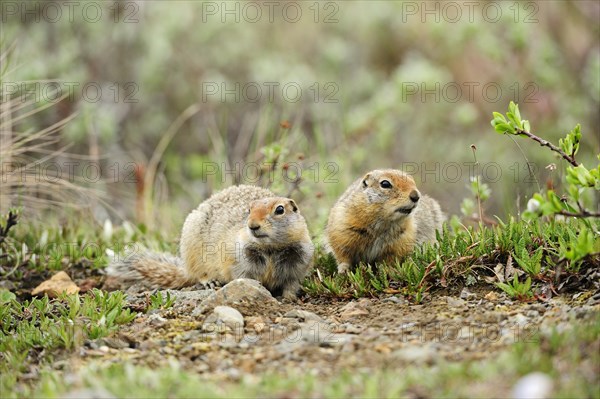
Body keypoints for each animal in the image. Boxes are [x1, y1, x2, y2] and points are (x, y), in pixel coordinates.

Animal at [107, 186, 314, 298]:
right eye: (249, 210)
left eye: (280, 210)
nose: (252, 226)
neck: (270, 249)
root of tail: (184, 269)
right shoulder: (238, 260)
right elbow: (245, 277)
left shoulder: (298, 262)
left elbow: (291, 284)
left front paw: (289, 298)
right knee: (197, 274)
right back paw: (209, 281)